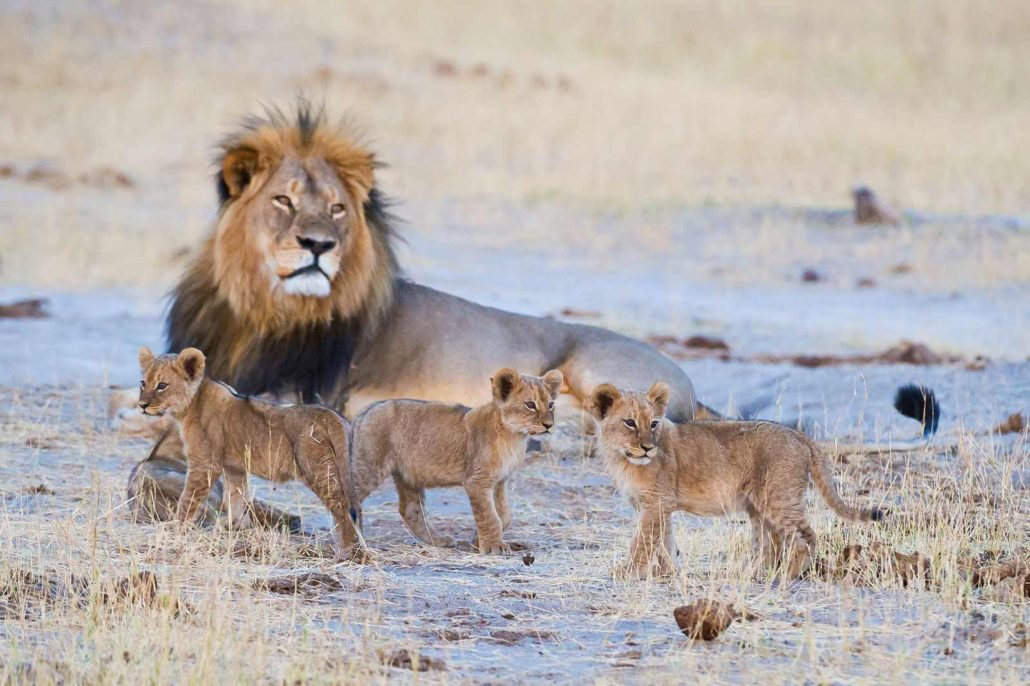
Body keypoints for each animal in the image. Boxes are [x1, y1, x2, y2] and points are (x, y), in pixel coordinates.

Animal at [124, 100, 712, 519]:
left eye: (337, 208)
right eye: (283, 201)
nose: (319, 245)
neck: (265, 312)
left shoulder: (306, 397)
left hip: (593, 370)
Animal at [589, 379, 885, 576]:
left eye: (653, 424)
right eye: (630, 422)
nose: (648, 447)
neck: (622, 458)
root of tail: (799, 435)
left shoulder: (656, 503)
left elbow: (642, 542)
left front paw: (626, 573)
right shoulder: (660, 506)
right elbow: (664, 541)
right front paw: (667, 573)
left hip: (778, 497)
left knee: (805, 537)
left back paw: (786, 576)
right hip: (758, 506)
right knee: (771, 543)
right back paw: (754, 573)